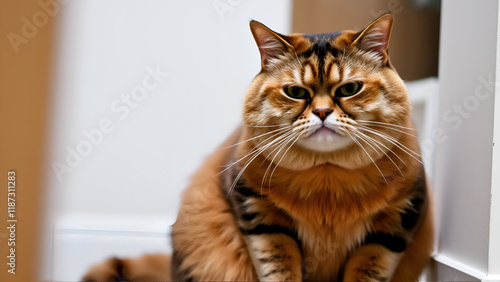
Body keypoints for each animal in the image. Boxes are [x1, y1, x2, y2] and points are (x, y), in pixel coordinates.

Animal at [83, 13, 434, 282]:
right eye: (295, 91)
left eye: (350, 89)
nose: (322, 112)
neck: (327, 178)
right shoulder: (259, 215)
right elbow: (278, 268)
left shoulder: (393, 227)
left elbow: (368, 270)